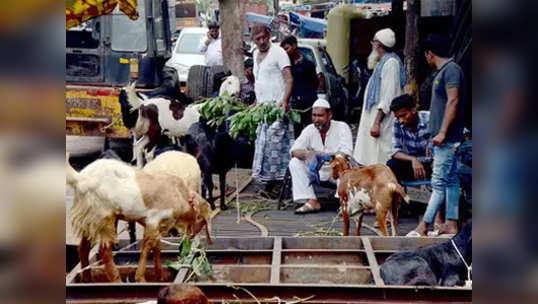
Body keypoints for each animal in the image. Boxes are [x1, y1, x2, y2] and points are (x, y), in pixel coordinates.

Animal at [65, 153, 211, 284]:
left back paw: (87, 279)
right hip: (104, 217)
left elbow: (157, 247)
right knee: (104, 250)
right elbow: (147, 247)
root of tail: (81, 178)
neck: (180, 194)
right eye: (201, 219)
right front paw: (140, 278)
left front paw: (161, 275)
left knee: (83, 247)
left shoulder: (156, 225)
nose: (192, 236)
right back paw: (116, 281)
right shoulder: (154, 220)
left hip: (90, 218)